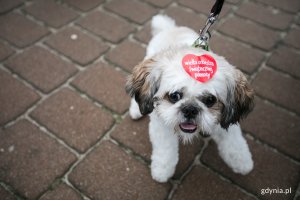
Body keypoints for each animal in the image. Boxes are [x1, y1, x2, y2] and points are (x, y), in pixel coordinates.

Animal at [125, 14, 254, 183]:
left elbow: (234, 143)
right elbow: (165, 150)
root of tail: (171, 28)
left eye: (210, 100)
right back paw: (136, 110)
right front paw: (162, 171)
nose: (190, 109)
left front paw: (242, 161)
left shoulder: (223, 121)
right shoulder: (162, 125)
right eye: (174, 96)